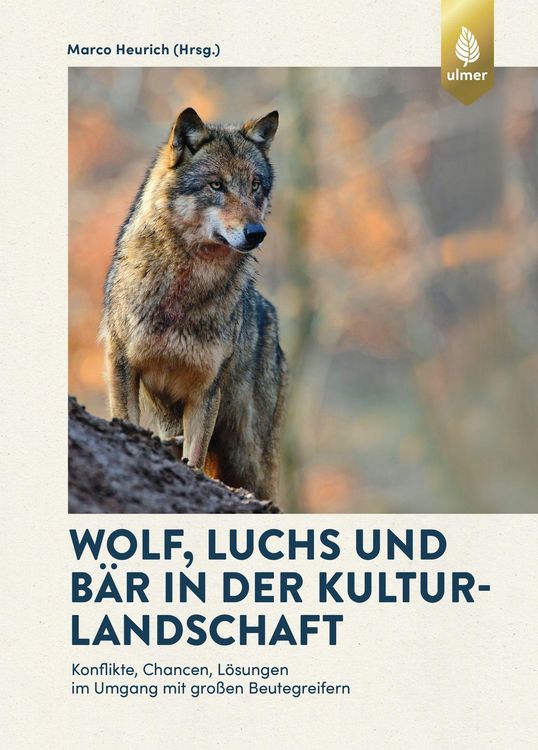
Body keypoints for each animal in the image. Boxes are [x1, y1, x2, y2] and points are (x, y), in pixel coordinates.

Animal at [101, 107, 287, 501]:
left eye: (255, 185)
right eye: (216, 185)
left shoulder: (205, 390)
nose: (257, 233)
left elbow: (195, 458)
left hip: (250, 457)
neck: (183, 290)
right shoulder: (122, 364)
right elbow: (125, 420)